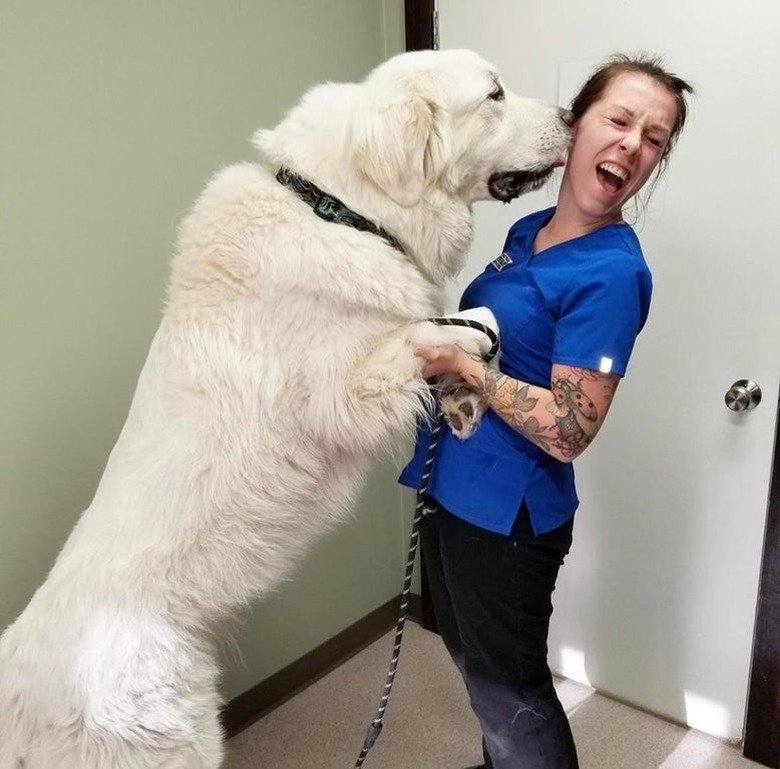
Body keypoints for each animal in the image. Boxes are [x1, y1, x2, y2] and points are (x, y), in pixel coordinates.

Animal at [1, 49, 572, 768]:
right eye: (494, 95)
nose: (571, 115)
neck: (340, 209)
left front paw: (465, 398)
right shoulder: (345, 390)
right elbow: (454, 323)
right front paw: (471, 350)